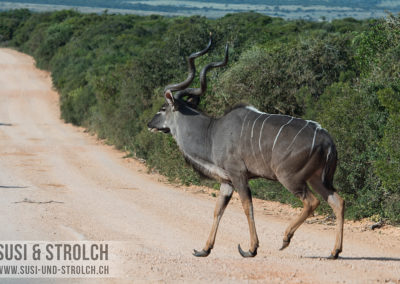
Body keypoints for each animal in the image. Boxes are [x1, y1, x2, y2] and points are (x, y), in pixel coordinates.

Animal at [147, 36, 344, 260]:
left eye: (163, 108)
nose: (149, 124)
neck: (211, 133)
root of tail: (326, 138)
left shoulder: (239, 175)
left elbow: (247, 207)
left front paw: (251, 249)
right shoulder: (227, 181)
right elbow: (218, 210)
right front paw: (204, 249)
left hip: (290, 178)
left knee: (312, 202)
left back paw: (285, 238)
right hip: (317, 178)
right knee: (338, 201)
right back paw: (334, 251)